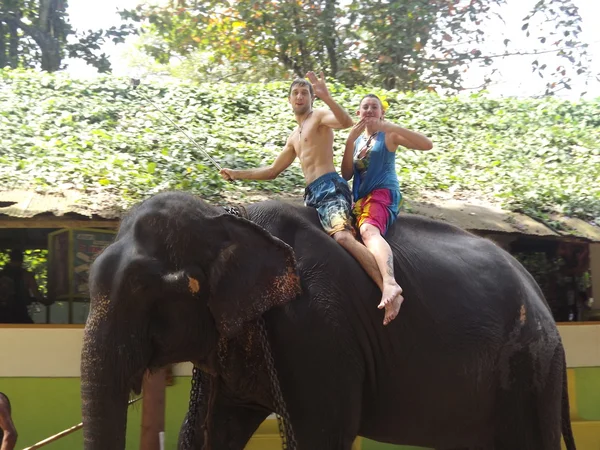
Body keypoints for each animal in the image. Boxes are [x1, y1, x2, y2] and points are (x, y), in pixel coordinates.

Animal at [81, 191, 576, 450]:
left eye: (144, 288)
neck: (228, 215)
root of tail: (542, 299)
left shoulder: (318, 331)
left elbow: (322, 434)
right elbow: (209, 429)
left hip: (530, 367)